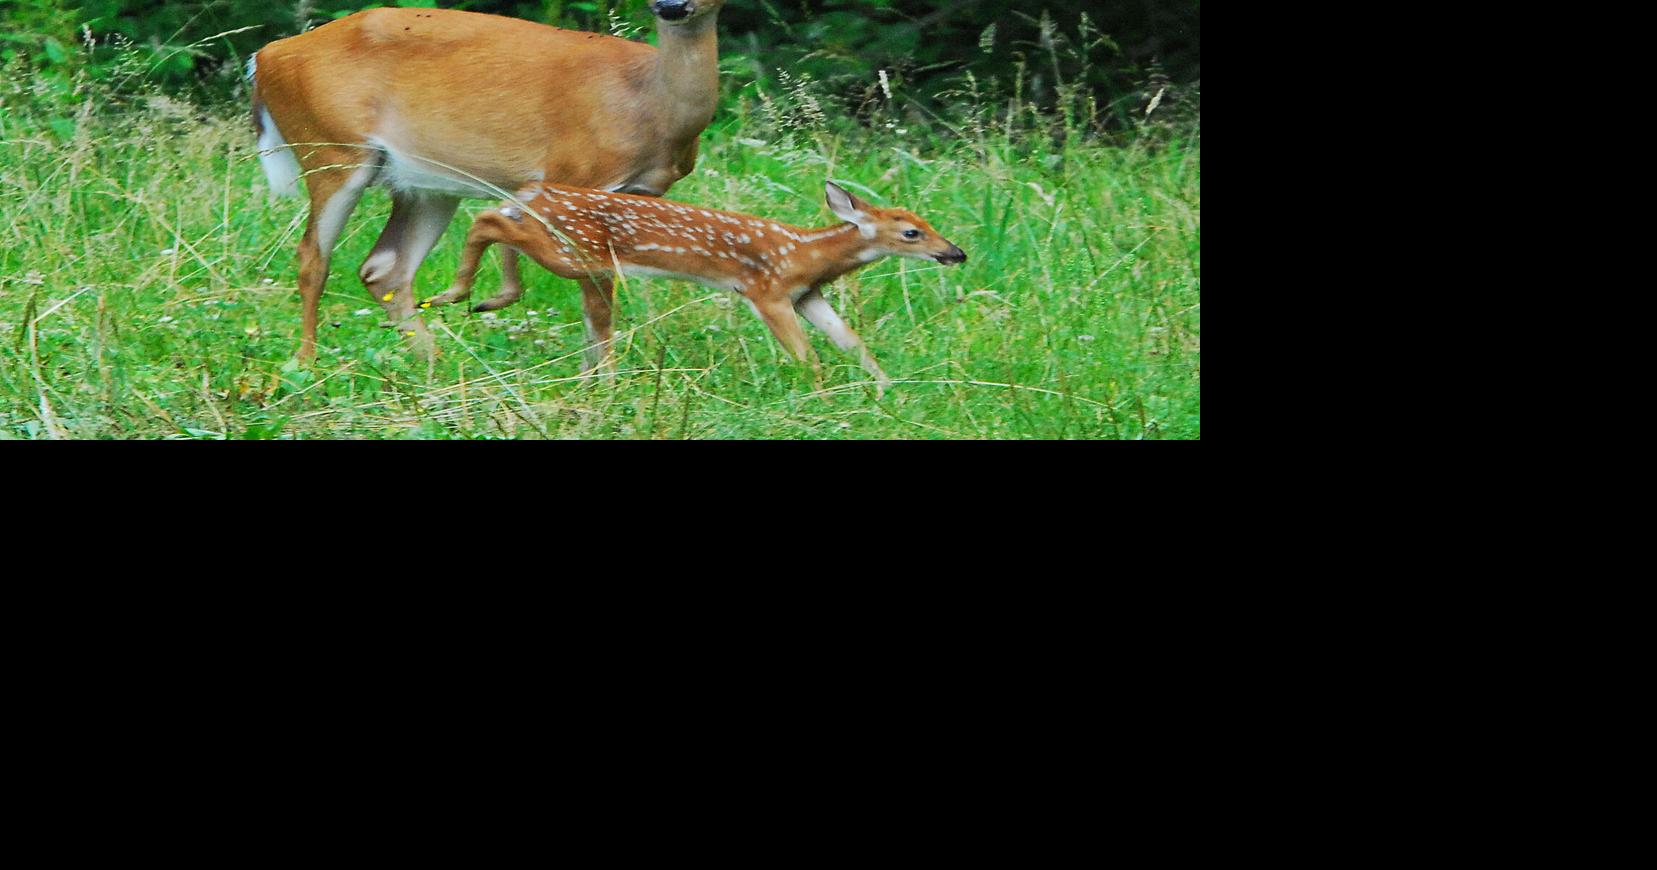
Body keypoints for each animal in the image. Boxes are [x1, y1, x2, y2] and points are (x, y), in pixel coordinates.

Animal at [247, 1, 726, 367]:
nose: (671, 5)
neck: (650, 104)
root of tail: (266, 56)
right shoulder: (575, 175)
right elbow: (596, 298)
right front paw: (602, 382)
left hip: (427, 184)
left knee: (385, 268)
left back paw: (434, 363)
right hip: (331, 150)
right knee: (313, 258)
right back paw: (307, 364)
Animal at [421, 180, 967, 396]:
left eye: (928, 223)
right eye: (911, 232)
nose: (957, 253)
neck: (805, 255)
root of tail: (536, 192)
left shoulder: (807, 294)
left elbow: (851, 341)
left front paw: (886, 387)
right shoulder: (764, 289)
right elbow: (806, 354)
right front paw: (822, 393)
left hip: (576, 256)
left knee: (499, 219)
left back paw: (487, 296)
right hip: (579, 254)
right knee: (487, 218)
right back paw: (456, 294)